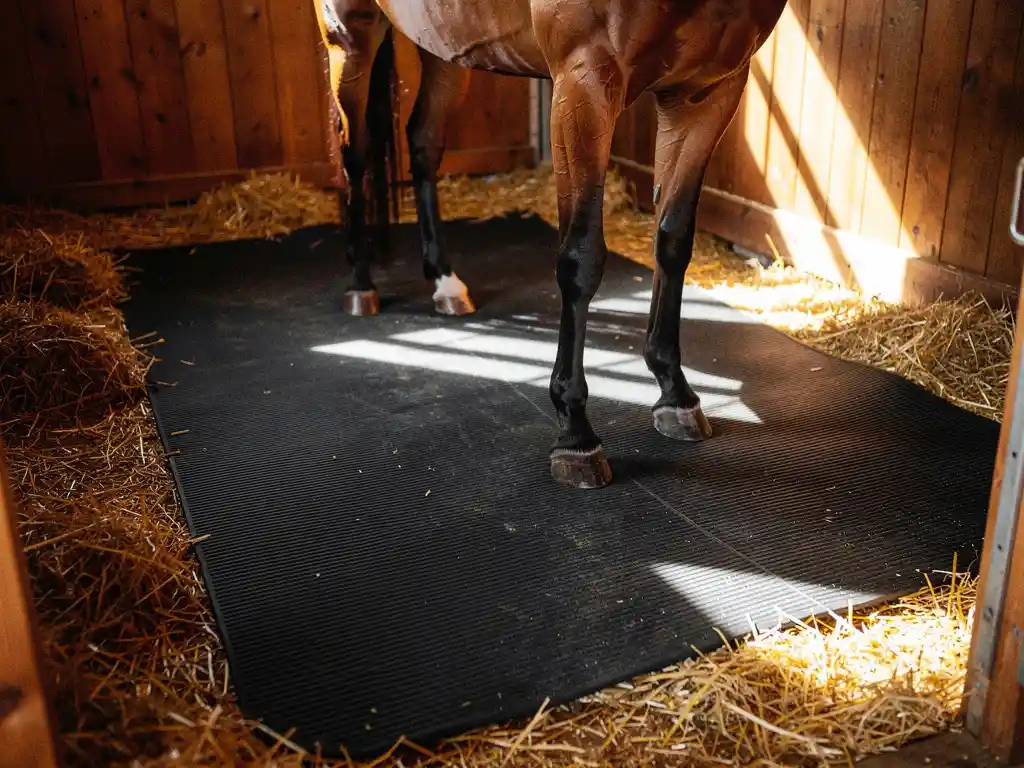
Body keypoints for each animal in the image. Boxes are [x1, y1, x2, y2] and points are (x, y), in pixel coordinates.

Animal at [314, 0, 788, 490]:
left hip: (442, 45)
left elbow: (673, 241)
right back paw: (361, 285)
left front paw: (675, 392)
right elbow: (581, 260)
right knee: (355, 155)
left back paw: (444, 281)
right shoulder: (584, 82)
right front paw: (576, 435)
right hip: (349, 37)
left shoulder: (706, 92)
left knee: (423, 142)